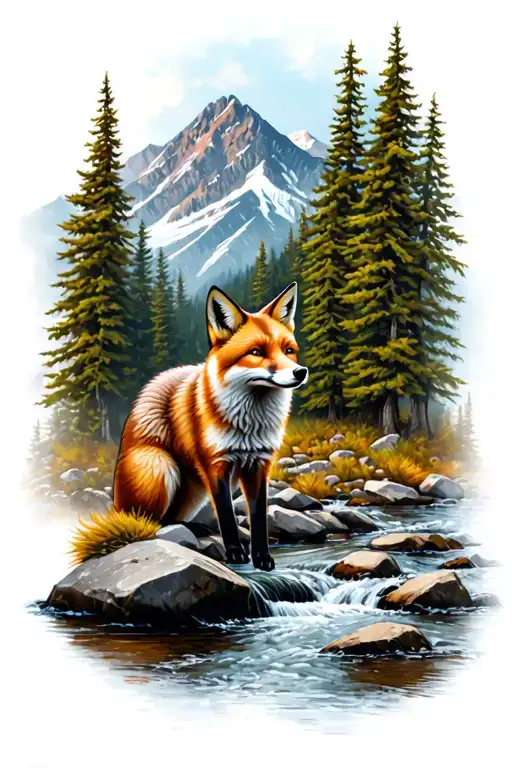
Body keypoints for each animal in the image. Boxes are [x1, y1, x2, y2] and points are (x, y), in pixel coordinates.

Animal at [73, 282, 308, 571]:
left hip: (193, 490)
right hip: (161, 465)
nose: (301, 372)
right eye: (256, 352)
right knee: (149, 522)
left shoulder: (259, 464)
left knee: (172, 519)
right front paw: (235, 553)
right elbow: (227, 516)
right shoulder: (215, 465)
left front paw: (262, 558)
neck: (249, 427)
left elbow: (259, 517)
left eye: (289, 350)